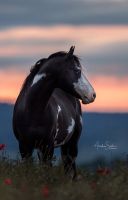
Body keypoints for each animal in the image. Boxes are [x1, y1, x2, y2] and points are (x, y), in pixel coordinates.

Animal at [12, 46, 96, 179]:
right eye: (77, 70)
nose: (92, 95)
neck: (32, 111)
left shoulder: (48, 146)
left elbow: (47, 169)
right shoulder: (24, 146)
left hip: (72, 144)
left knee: (71, 167)